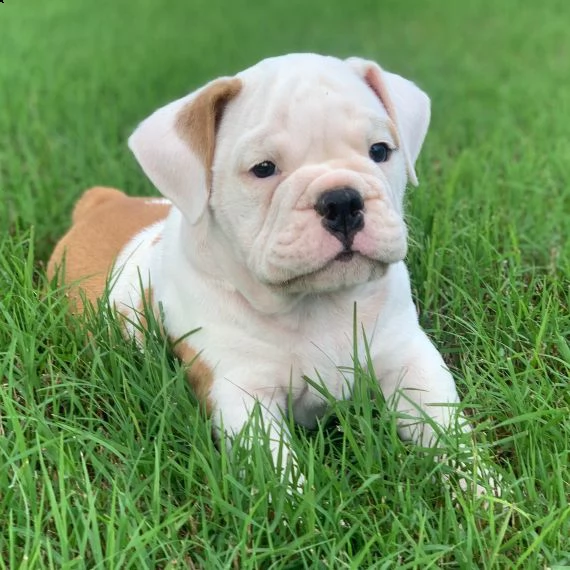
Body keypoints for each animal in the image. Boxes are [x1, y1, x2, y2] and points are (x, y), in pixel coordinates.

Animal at [50, 52, 484, 488]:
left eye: (380, 150)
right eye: (263, 168)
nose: (342, 201)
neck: (318, 303)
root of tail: (101, 201)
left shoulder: (411, 360)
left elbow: (450, 434)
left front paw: (484, 493)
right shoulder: (241, 396)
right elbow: (280, 474)